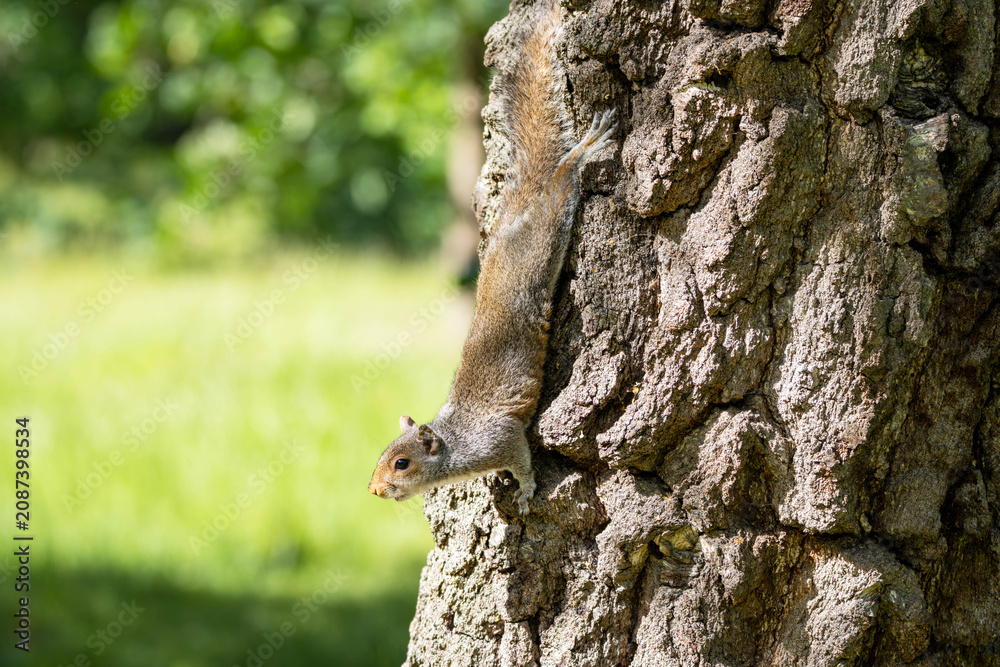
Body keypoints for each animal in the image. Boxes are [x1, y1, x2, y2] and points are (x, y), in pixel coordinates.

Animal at [368, 0, 616, 516]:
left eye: (402, 463)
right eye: (382, 455)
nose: (374, 489)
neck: (457, 446)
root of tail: (521, 204)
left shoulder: (499, 439)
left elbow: (522, 458)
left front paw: (524, 491)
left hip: (549, 224)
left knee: (564, 179)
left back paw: (587, 149)